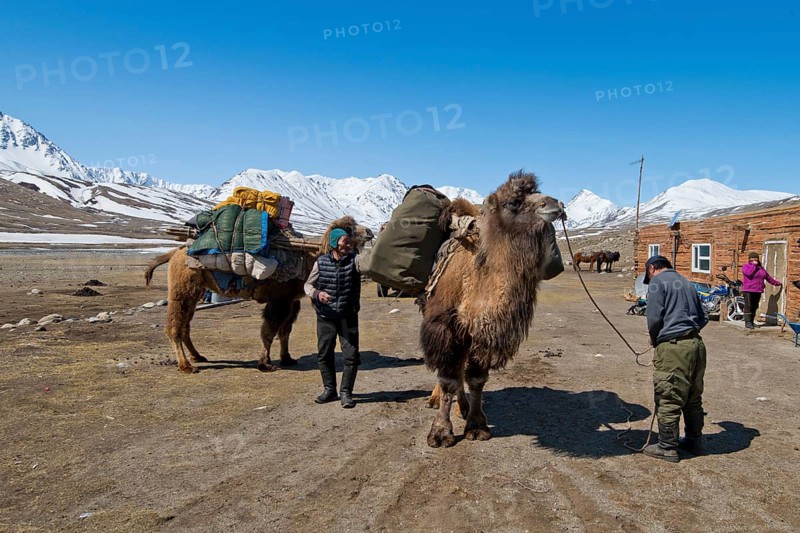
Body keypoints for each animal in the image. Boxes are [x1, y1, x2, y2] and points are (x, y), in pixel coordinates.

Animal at [144, 216, 372, 374]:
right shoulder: (279, 299)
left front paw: (287, 358)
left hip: (196, 290)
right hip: (182, 289)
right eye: (349, 229)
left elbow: (285, 331)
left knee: (185, 325)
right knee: (175, 326)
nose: (370, 231)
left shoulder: (291, 301)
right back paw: (186, 366)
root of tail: (175, 252)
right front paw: (265, 364)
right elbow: (269, 331)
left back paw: (198, 356)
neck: (308, 256)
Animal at [420, 170, 565, 447]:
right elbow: (447, 379)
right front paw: (440, 433)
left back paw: (463, 407)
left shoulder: (483, 332)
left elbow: (476, 378)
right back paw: (435, 400)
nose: (557, 204)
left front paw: (476, 426)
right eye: (514, 202)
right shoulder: (444, 327)